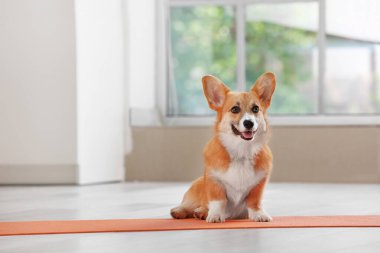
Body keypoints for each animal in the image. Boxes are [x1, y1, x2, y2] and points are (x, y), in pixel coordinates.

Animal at [170, 72, 276, 222]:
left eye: (255, 109)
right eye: (235, 109)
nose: (249, 123)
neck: (241, 151)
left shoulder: (259, 184)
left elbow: (254, 202)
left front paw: (259, 215)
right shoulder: (214, 180)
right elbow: (218, 201)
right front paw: (215, 216)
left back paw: (201, 213)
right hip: (197, 188)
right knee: (190, 205)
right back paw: (184, 211)